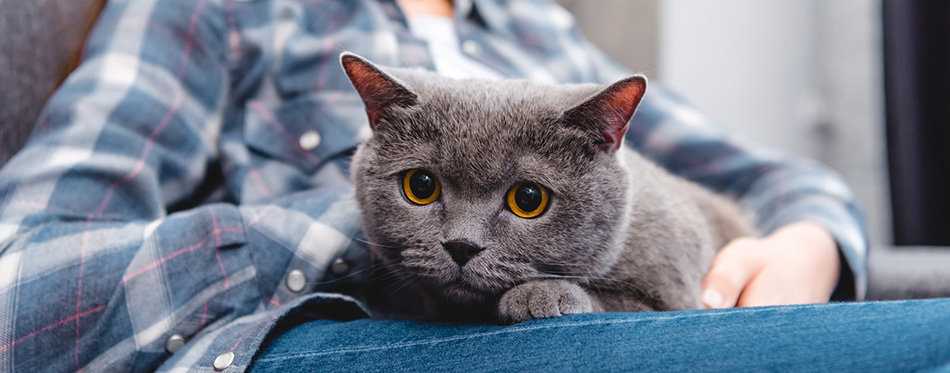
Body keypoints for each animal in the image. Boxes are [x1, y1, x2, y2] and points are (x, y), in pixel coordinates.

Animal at [344, 52, 760, 322]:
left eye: (528, 198)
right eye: (421, 186)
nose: (461, 245)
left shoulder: (675, 289)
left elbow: (616, 303)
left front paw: (541, 296)